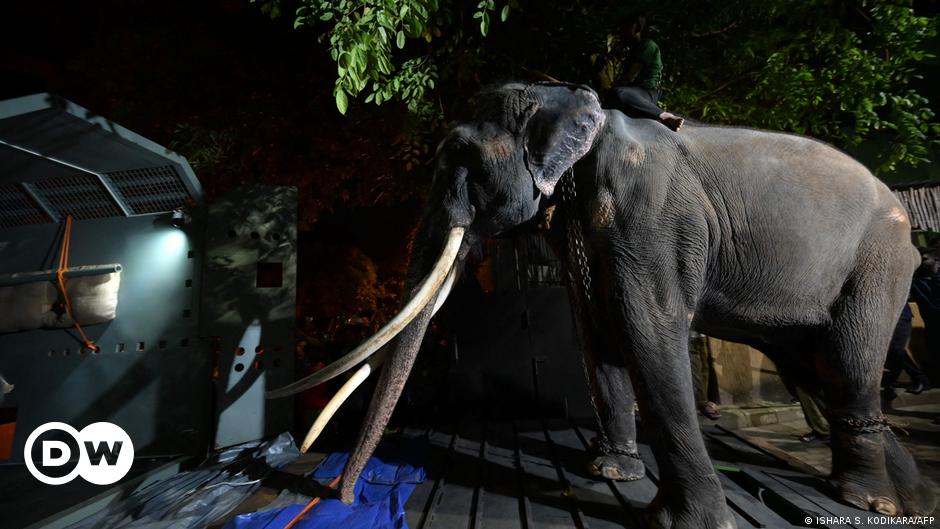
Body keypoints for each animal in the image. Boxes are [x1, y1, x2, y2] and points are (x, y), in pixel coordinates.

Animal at [270, 82, 936, 528]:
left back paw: (866, 500)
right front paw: (610, 472)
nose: (342, 497)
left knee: (846, 363)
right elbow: (595, 329)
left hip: (878, 264)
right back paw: (904, 496)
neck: (568, 99)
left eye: (462, 157)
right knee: (819, 368)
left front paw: (681, 522)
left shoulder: (647, 209)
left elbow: (645, 325)